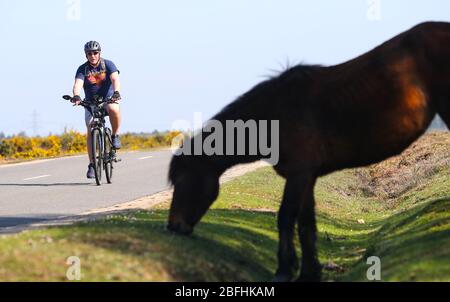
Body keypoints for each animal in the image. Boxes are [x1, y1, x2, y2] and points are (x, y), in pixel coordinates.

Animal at [166, 22, 450, 282]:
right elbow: (306, 225)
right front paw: (308, 272)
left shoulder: (299, 174)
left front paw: (284, 270)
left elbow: (285, 217)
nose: (173, 226)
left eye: (181, 179)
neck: (276, 113)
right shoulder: (308, 177)